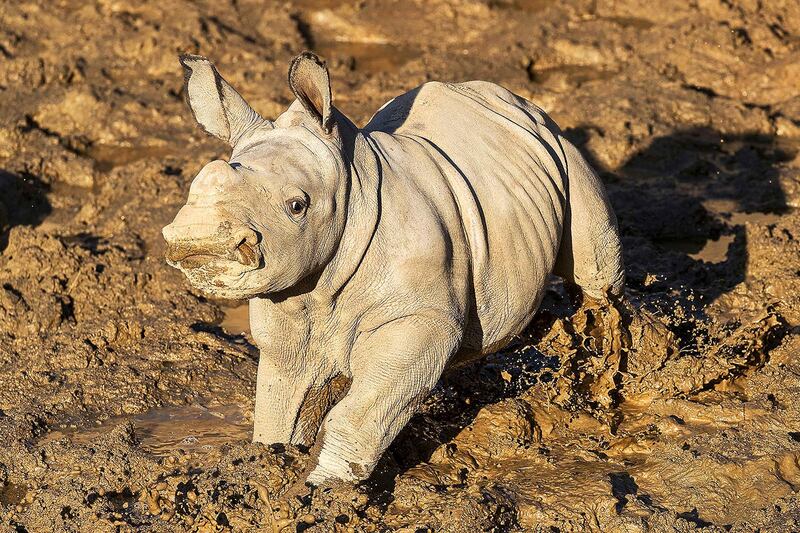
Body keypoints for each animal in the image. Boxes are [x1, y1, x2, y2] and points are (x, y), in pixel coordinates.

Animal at [162, 52, 624, 484]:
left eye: (297, 205)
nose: (197, 240)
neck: (351, 188)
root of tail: (515, 100)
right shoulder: (288, 305)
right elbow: (282, 408)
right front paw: (273, 466)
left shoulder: (422, 320)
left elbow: (362, 413)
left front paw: (324, 492)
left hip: (562, 146)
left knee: (597, 274)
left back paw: (606, 373)